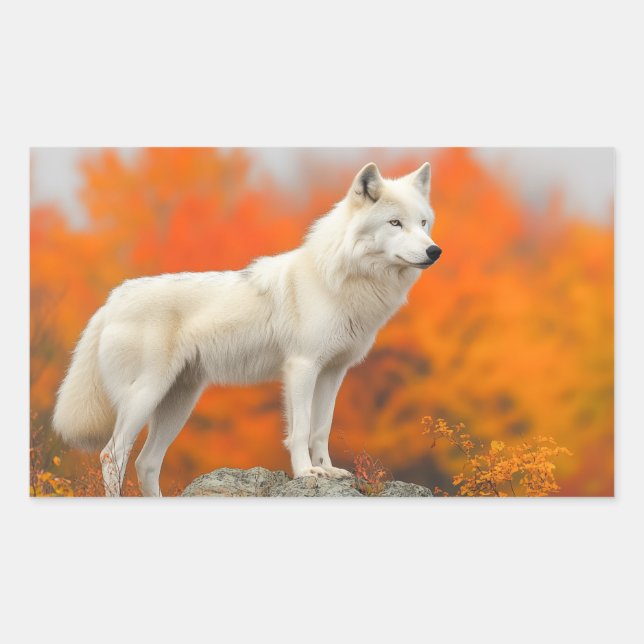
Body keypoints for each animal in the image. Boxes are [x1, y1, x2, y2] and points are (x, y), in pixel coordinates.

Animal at [52, 162, 441, 496]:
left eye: (423, 223)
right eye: (395, 223)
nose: (434, 251)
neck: (338, 280)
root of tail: (111, 300)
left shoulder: (333, 372)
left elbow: (321, 429)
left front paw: (327, 470)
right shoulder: (302, 367)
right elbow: (301, 429)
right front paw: (306, 473)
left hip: (178, 402)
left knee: (147, 463)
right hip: (145, 396)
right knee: (112, 455)